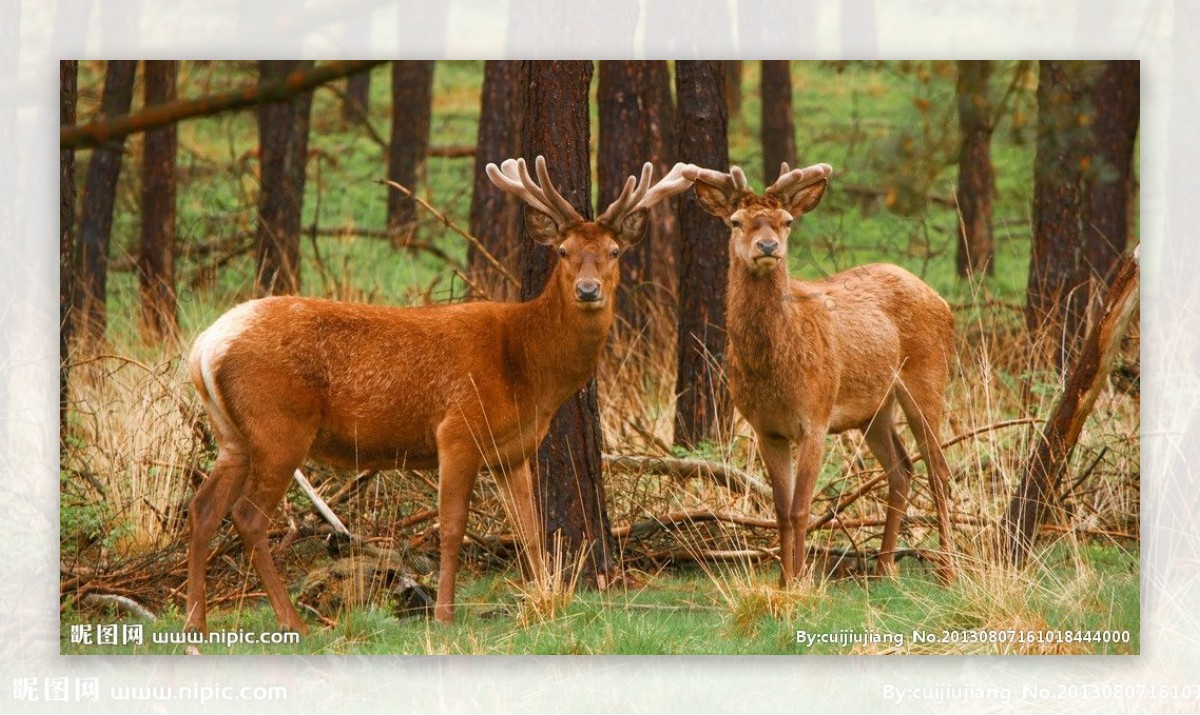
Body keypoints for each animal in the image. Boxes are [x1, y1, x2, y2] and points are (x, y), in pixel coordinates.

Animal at [182, 155, 700, 633]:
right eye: (564, 250)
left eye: (613, 251)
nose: (588, 289)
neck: (528, 370)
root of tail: (204, 345)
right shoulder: (457, 430)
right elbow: (452, 529)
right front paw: (446, 615)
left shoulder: (512, 451)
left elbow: (530, 531)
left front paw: (548, 602)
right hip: (279, 425)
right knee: (247, 517)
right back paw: (293, 623)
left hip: (234, 436)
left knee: (203, 509)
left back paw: (195, 627)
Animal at [686, 163, 955, 585]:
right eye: (735, 221)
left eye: (787, 221)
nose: (767, 247)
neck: (773, 370)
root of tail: (943, 302)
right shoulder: (766, 428)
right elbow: (781, 510)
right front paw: (784, 581)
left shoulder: (816, 415)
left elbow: (801, 508)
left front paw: (800, 581)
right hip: (873, 408)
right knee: (901, 467)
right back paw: (883, 568)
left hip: (928, 377)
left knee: (939, 469)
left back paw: (947, 570)